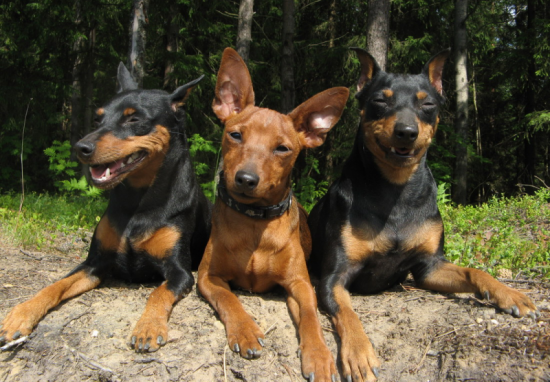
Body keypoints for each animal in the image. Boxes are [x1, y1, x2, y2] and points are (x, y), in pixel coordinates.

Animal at [0, 62, 212, 352]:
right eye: (98, 119)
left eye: (133, 119)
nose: (81, 147)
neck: (138, 202)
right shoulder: (95, 263)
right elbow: (55, 285)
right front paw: (20, 314)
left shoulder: (179, 272)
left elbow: (158, 293)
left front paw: (148, 327)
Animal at [308, 49, 540, 380]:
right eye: (380, 101)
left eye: (428, 104)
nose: (406, 132)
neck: (396, 190)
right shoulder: (334, 278)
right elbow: (348, 313)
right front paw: (359, 353)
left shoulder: (429, 267)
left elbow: (475, 272)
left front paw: (509, 293)